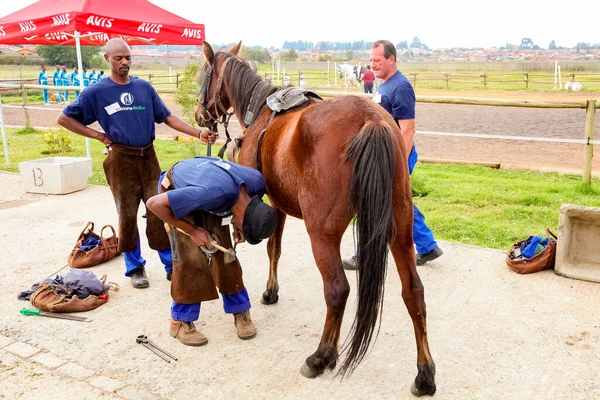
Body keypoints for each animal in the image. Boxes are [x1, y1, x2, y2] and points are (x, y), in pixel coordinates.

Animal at [197, 42, 436, 396]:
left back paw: (321, 357)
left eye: (202, 73)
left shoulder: (270, 204)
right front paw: (271, 291)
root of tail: (371, 121)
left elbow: (272, 249)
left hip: (323, 234)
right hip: (400, 229)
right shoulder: (279, 205)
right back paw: (425, 374)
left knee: (337, 290)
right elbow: (276, 250)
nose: (199, 115)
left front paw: (269, 292)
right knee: (414, 292)